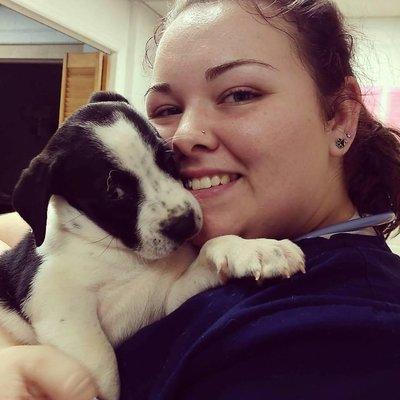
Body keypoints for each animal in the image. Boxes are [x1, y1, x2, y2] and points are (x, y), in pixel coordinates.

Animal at [0, 91, 304, 400]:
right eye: (114, 192)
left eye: (168, 158)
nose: (184, 225)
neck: (127, 256)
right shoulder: (59, 305)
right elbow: (102, 362)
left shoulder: (168, 302)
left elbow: (210, 249)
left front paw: (254, 248)